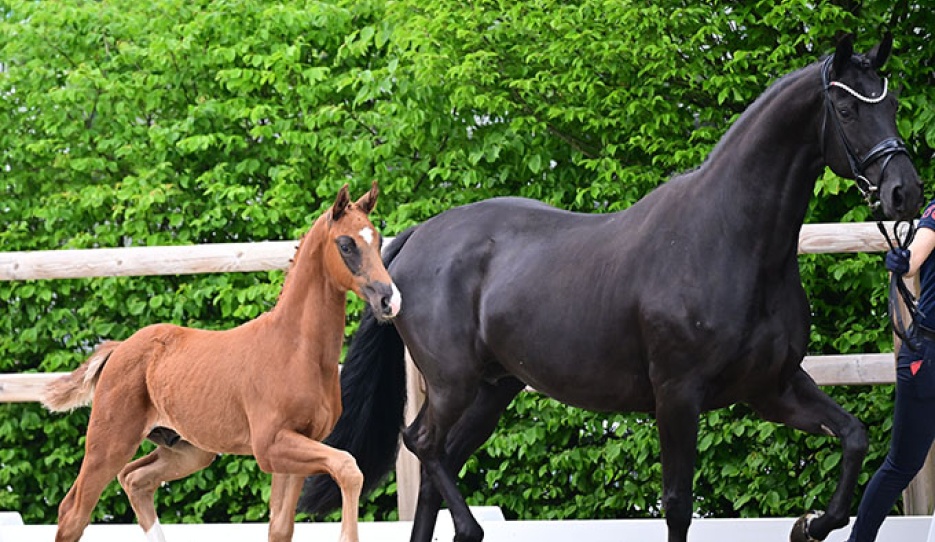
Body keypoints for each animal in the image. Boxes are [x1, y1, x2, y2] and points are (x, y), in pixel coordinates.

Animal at [41, 182, 401, 542]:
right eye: (346, 244)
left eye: (379, 240)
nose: (389, 299)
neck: (297, 351)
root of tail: (119, 349)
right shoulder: (271, 445)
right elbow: (348, 468)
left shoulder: (298, 447)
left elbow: (280, 527)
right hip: (110, 442)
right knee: (74, 512)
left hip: (187, 450)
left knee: (135, 480)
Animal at [298, 35, 922, 542]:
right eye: (847, 107)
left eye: (890, 104)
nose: (904, 194)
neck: (728, 241)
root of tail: (415, 240)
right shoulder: (678, 395)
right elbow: (677, 505)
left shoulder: (772, 387)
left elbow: (854, 437)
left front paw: (811, 524)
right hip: (455, 383)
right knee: (422, 445)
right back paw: (473, 528)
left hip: (492, 391)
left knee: (435, 467)